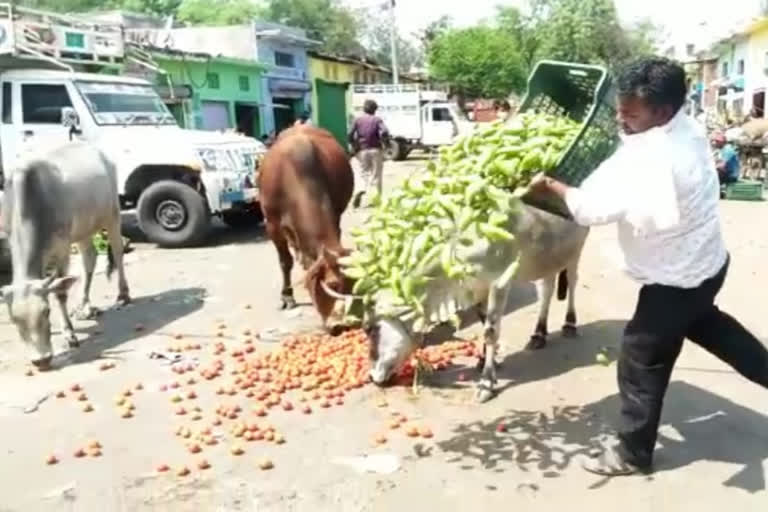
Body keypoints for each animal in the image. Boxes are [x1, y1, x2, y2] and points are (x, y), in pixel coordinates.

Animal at [0, 142, 130, 370]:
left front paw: (69, 334)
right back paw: (84, 306)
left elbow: (60, 292)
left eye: (46, 312)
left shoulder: (62, 247)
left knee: (117, 251)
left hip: (112, 214)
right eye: (14, 319)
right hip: (83, 229)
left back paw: (123, 294)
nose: (41, 360)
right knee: (89, 259)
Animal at [258, 126, 354, 326]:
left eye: (352, 284)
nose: (341, 323)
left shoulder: (336, 216)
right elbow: (285, 262)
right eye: (332, 284)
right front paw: (287, 296)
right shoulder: (272, 225)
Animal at [324, 202, 588, 402]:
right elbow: (483, 322)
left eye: (369, 328)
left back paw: (569, 324)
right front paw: (484, 360)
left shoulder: (500, 282)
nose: (371, 377)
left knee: (573, 281)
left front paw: (486, 383)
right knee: (547, 289)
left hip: (576, 248)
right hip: (549, 256)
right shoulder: (477, 288)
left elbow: (491, 331)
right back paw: (539, 334)